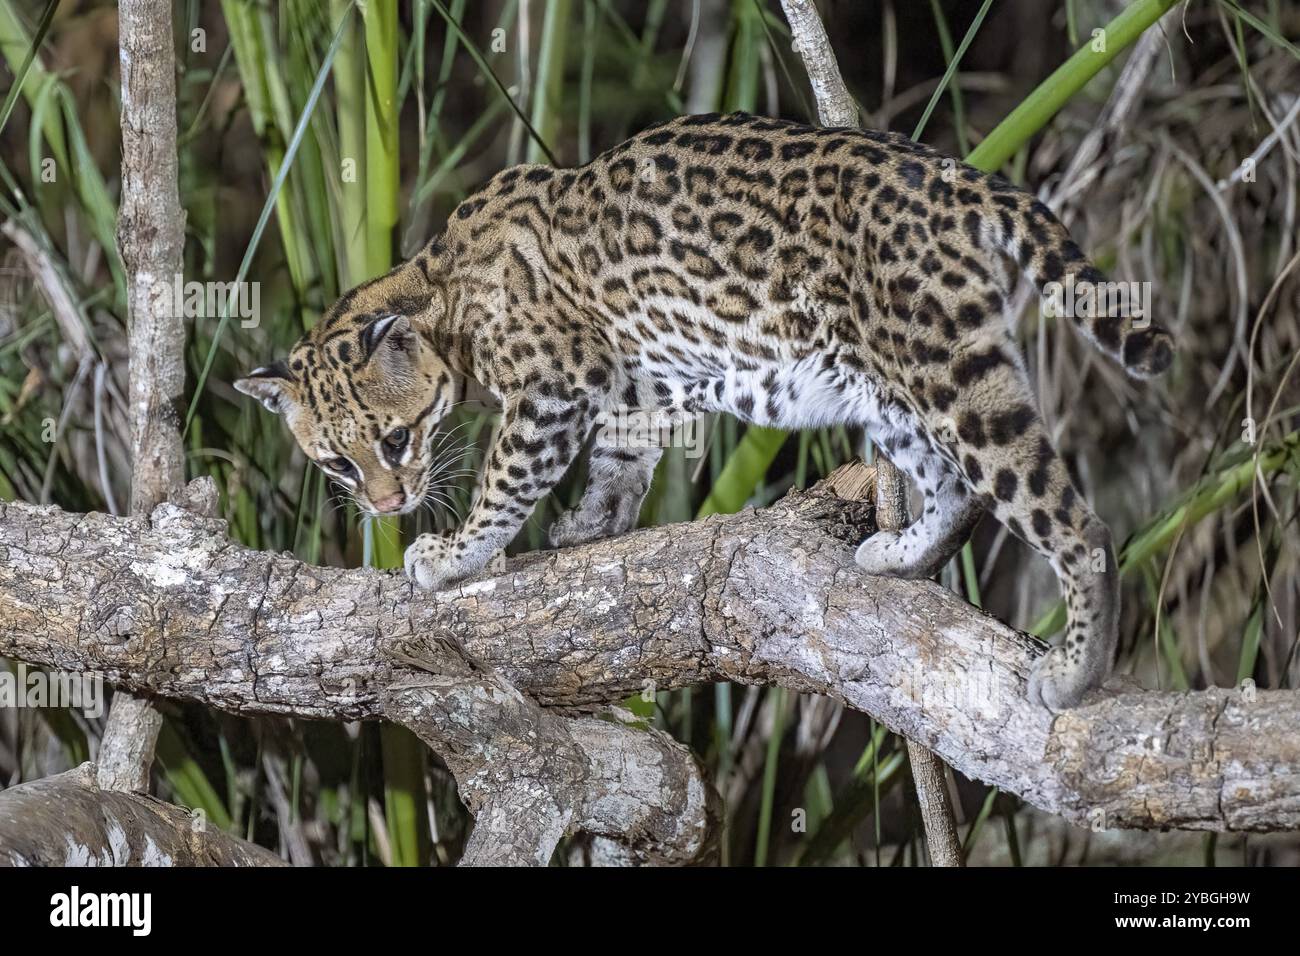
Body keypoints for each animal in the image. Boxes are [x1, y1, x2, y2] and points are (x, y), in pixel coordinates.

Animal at [236, 113, 1180, 712]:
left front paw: (455, 552)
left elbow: (506, 477)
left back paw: (1074, 673)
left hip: (943, 367)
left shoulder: (553, 385)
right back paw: (901, 553)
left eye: (396, 439)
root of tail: (952, 175)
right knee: (953, 492)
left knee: (1076, 523)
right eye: (337, 463)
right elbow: (619, 462)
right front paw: (591, 526)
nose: (387, 506)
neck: (441, 291)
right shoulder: (634, 382)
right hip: (887, 384)